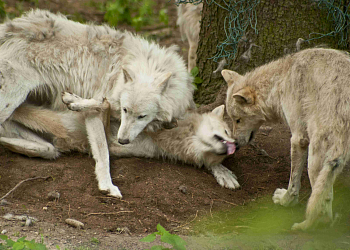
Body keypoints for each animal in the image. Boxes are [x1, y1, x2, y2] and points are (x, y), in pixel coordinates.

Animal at [0, 9, 194, 197]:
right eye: (125, 110)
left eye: (142, 116)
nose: (122, 140)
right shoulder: (100, 109)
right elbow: (103, 150)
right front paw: (107, 186)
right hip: (9, 101)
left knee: (41, 143)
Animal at [0, 92, 239, 193]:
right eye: (227, 130)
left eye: (219, 155)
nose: (235, 144)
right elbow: (105, 103)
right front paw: (74, 100)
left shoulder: (116, 144)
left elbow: (104, 153)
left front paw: (224, 174)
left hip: (48, 142)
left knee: (47, 149)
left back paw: (6, 143)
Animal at [221, 47, 350, 229]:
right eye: (232, 119)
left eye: (237, 120)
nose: (235, 144)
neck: (281, 80)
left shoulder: (298, 139)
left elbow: (293, 182)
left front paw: (285, 201)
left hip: (315, 161)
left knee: (322, 208)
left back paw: (304, 226)